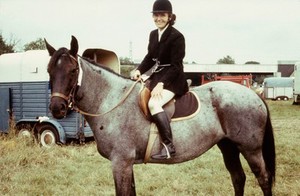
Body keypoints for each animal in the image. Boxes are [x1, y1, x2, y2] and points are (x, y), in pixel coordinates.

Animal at [44, 35, 274, 196]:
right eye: (49, 70)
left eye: (73, 70)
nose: (57, 108)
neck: (111, 99)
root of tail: (254, 94)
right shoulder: (126, 164)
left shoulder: (120, 163)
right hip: (228, 146)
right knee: (238, 178)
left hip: (250, 149)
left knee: (263, 179)